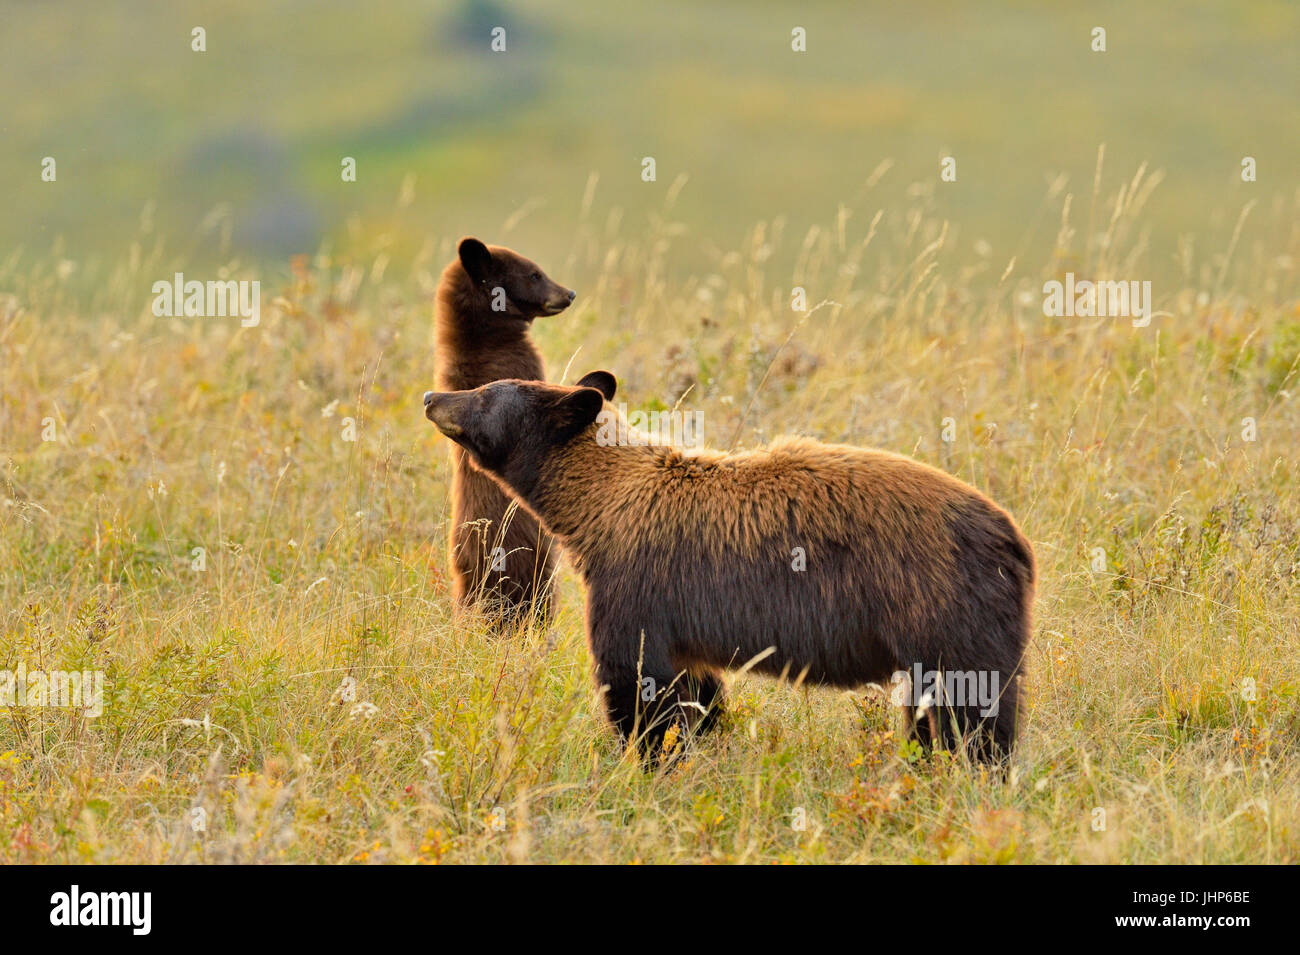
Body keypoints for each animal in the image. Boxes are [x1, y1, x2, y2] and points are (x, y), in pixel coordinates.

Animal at [423, 374, 1034, 764]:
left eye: (487, 392)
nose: (432, 395)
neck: (602, 505)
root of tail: (1013, 539)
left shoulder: (637, 583)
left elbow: (637, 684)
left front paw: (650, 764)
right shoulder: (682, 627)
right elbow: (697, 691)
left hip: (942, 605)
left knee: (971, 710)